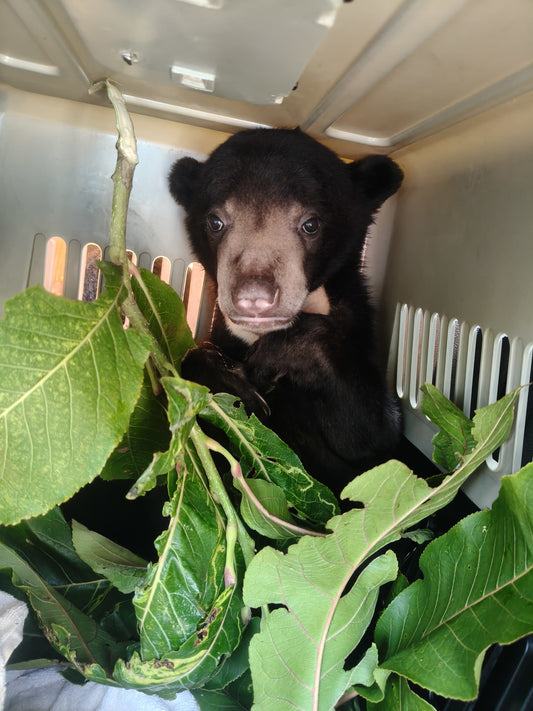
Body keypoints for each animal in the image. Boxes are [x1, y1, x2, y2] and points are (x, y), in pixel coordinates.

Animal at [169, 127, 403, 495]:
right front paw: (237, 385)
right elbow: (191, 360)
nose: (253, 296)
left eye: (311, 225)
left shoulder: (358, 328)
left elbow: (372, 435)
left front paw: (271, 360)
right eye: (216, 221)